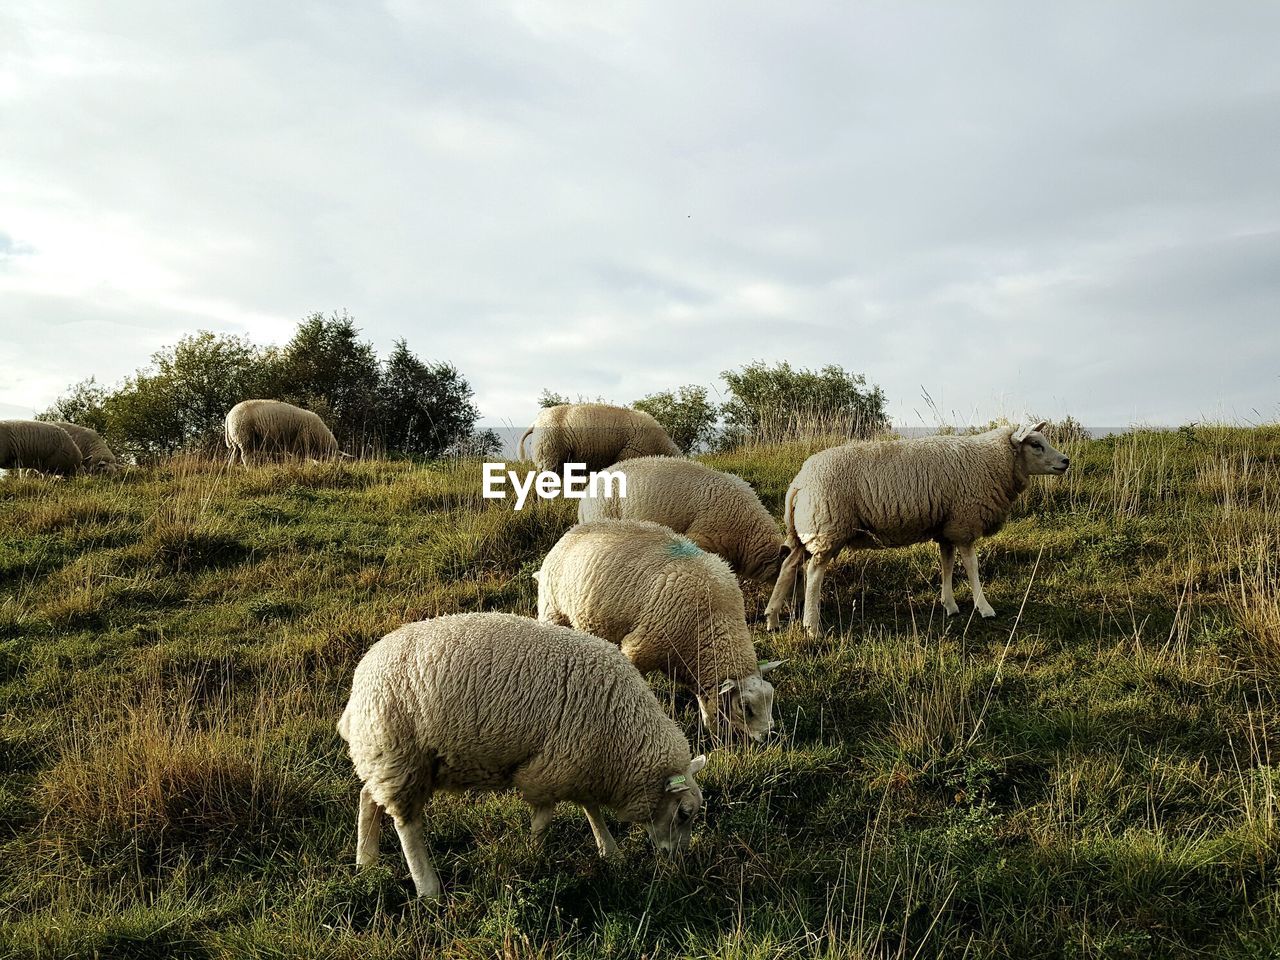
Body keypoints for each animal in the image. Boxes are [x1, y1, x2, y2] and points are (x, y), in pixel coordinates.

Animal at [335, 611, 706, 901]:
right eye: (684, 813)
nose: (679, 862)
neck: (624, 734)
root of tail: (359, 683)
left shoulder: (580, 763)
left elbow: (591, 808)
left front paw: (609, 851)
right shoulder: (551, 767)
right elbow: (545, 819)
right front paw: (533, 854)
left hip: (387, 757)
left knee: (368, 797)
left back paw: (366, 861)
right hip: (401, 756)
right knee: (406, 825)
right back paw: (428, 888)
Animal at [537, 522, 783, 742]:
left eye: (771, 697)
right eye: (745, 707)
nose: (769, 735)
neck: (715, 621)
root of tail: (572, 531)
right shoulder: (639, 648)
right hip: (553, 611)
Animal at [768, 422, 1070, 640]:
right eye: (1036, 444)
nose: (1065, 461)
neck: (993, 461)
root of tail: (798, 482)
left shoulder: (948, 527)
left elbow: (947, 564)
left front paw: (949, 605)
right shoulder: (964, 523)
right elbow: (971, 567)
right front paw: (984, 608)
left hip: (807, 531)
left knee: (789, 566)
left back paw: (772, 618)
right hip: (827, 527)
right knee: (813, 572)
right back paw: (812, 627)